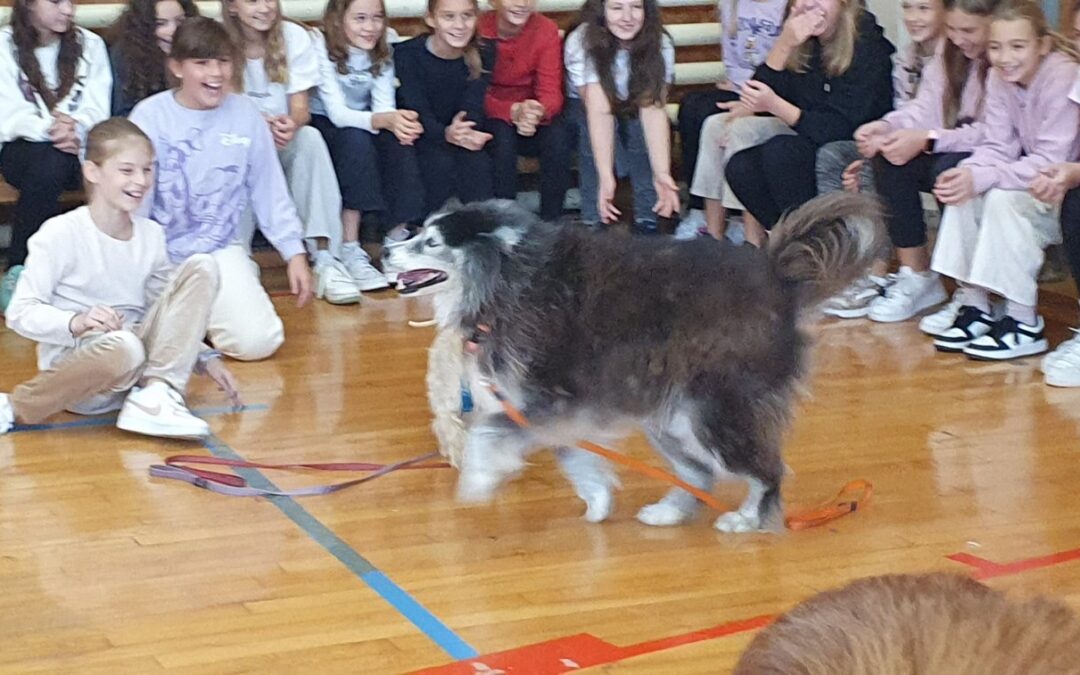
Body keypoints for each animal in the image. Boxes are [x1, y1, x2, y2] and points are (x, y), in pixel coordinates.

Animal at [388, 194, 885, 531]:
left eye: (430, 242)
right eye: (420, 234)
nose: (389, 251)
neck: (506, 277)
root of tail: (779, 280)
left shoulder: (552, 400)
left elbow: (487, 434)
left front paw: (477, 479)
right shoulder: (555, 411)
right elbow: (575, 459)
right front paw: (598, 501)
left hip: (714, 411)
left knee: (766, 471)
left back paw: (747, 518)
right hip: (671, 417)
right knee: (700, 472)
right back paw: (671, 511)